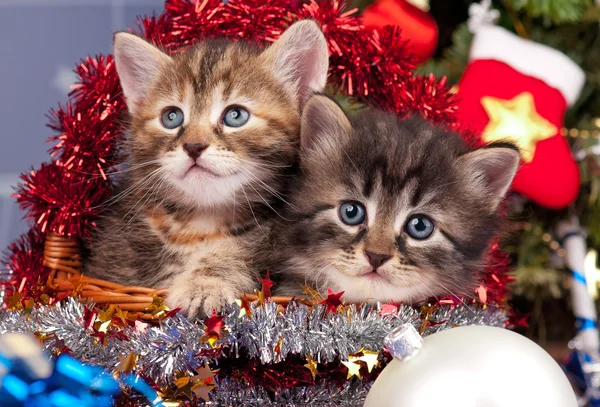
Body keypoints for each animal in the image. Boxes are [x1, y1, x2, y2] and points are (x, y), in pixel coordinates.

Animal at [84, 20, 328, 318]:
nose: (193, 146)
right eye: (171, 117)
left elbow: (237, 256)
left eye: (236, 115)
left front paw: (202, 285)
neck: (200, 224)